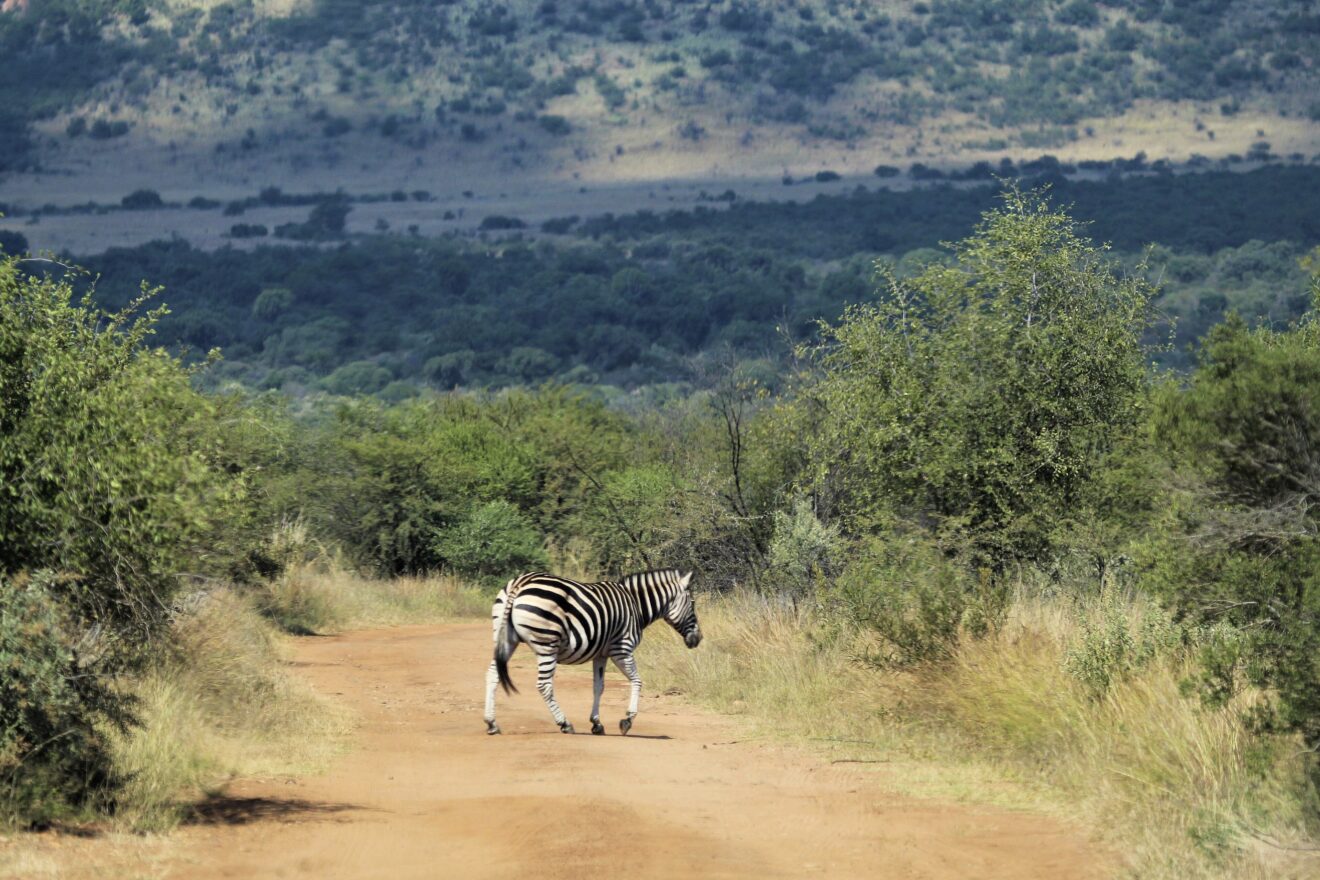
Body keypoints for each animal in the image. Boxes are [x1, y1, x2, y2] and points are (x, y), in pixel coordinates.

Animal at [483, 569, 702, 736]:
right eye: (692, 603)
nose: (698, 639)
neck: (636, 606)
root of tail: (521, 582)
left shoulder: (601, 654)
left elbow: (598, 687)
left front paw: (597, 723)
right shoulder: (621, 648)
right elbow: (637, 681)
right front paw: (627, 720)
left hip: (504, 638)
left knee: (493, 675)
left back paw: (491, 723)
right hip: (547, 644)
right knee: (544, 685)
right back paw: (565, 724)